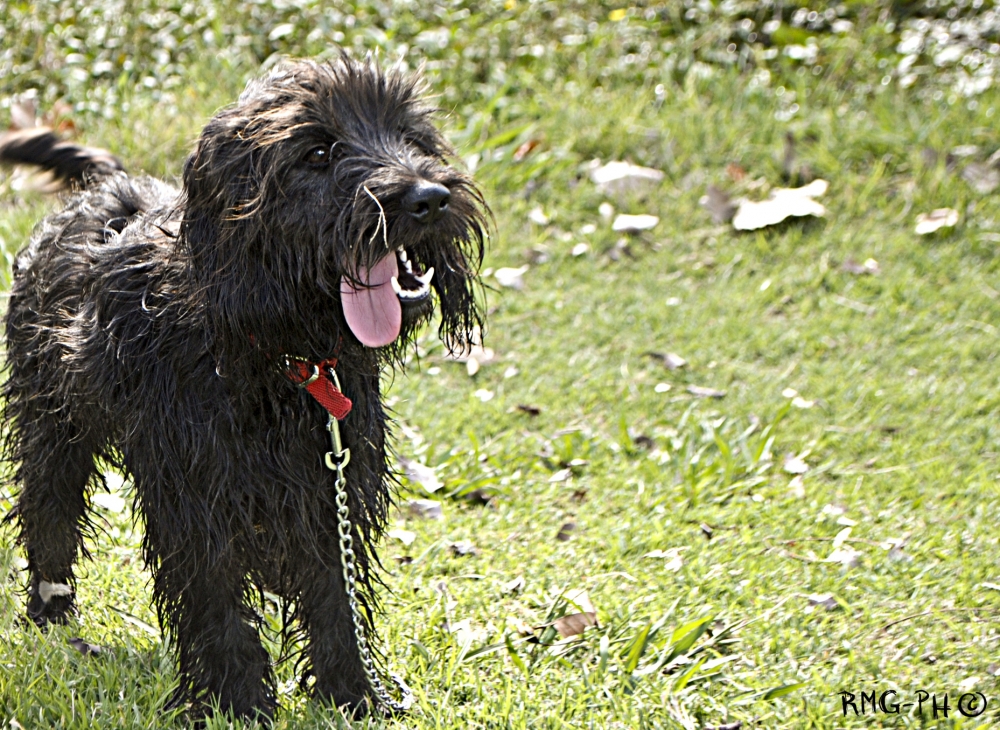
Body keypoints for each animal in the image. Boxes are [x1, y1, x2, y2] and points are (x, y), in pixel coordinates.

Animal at [0, 57, 488, 716]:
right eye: (319, 152)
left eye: (411, 137)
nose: (429, 199)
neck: (282, 355)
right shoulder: (194, 491)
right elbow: (214, 595)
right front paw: (236, 699)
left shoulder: (331, 481)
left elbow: (334, 595)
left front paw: (353, 693)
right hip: (53, 422)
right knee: (48, 507)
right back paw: (50, 610)